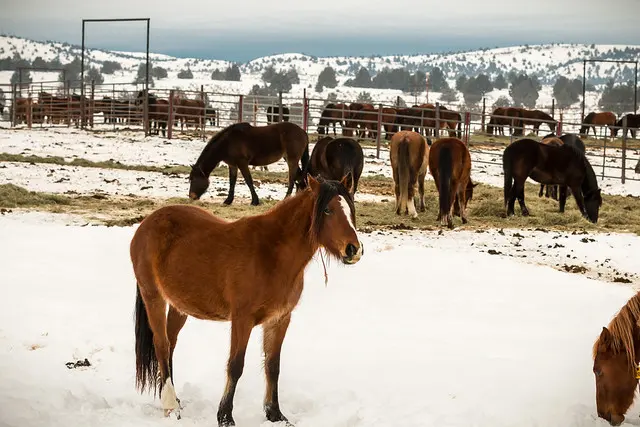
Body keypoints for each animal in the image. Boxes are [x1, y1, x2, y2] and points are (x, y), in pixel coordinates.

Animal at [130, 175, 363, 426]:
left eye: (350, 208)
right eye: (328, 210)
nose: (354, 249)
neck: (271, 254)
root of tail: (147, 223)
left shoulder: (280, 319)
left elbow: (273, 365)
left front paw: (275, 414)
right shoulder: (242, 319)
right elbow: (235, 365)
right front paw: (225, 416)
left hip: (179, 306)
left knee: (171, 343)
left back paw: (175, 400)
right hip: (153, 296)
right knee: (161, 345)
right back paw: (171, 407)